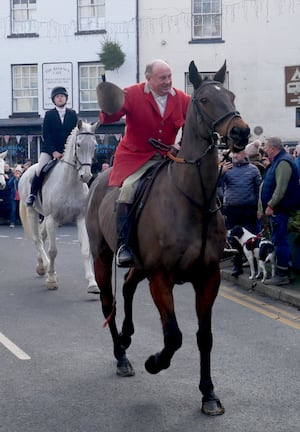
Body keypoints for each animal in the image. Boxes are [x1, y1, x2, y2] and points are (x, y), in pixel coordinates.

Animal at [85, 60, 250, 416]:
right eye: (203, 99)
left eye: (231, 95)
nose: (241, 132)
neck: (194, 198)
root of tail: (98, 177)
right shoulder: (161, 277)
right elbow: (173, 335)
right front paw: (154, 362)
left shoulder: (209, 276)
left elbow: (205, 337)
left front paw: (208, 393)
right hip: (103, 256)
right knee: (109, 302)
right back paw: (121, 354)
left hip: (139, 264)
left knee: (128, 286)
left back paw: (128, 336)